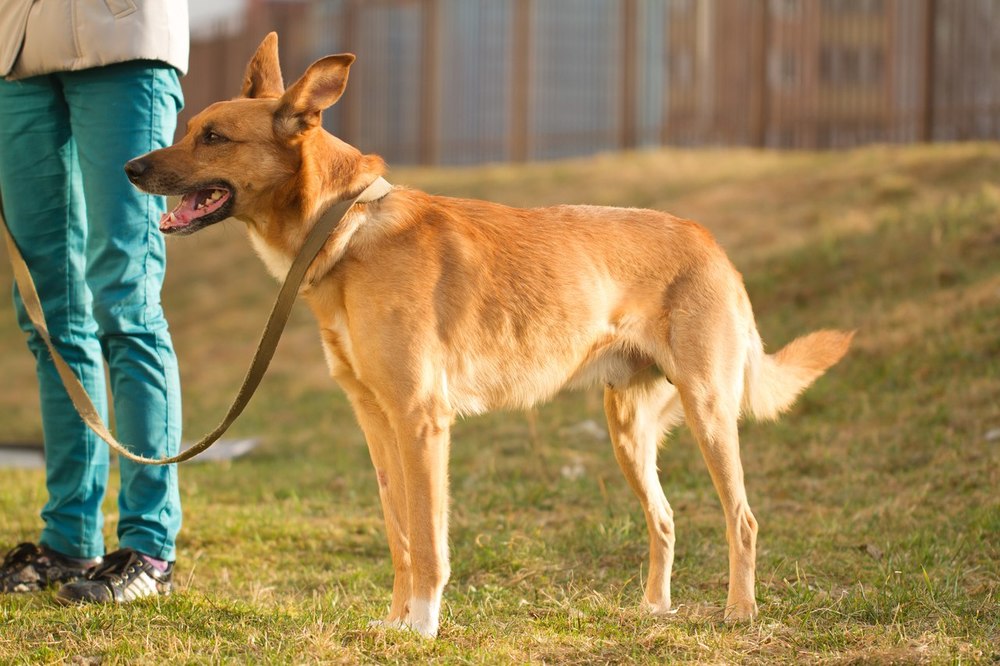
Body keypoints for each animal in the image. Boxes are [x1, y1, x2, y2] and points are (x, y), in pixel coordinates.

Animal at [127, 33, 852, 636]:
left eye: (212, 136)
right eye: (188, 129)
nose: (131, 168)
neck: (348, 228)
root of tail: (711, 243)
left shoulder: (422, 421)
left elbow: (428, 542)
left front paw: (421, 627)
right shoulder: (377, 424)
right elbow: (399, 537)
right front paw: (395, 622)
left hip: (709, 412)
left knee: (743, 518)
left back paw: (740, 612)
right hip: (628, 431)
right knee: (666, 519)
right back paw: (654, 609)